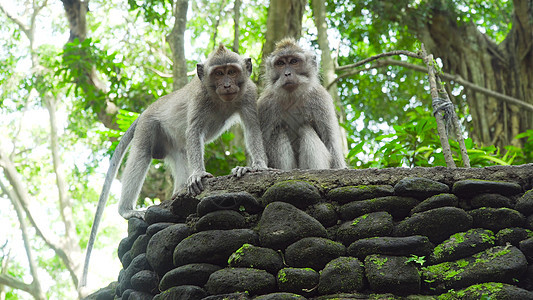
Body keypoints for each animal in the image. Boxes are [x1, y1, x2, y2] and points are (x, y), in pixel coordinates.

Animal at [79, 45, 268, 288]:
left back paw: (179, 191)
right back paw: (127, 209)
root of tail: (149, 108)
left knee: (182, 152)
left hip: (169, 141)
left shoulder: (249, 94)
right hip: (149, 125)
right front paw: (198, 174)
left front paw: (256, 166)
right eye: (218, 73)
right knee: (142, 154)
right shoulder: (199, 97)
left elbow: (252, 127)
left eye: (232, 72)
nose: (227, 85)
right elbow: (194, 131)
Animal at [256, 37, 344, 169]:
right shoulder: (265, 105)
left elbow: (330, 141)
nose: (287, 74)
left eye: (294, 61)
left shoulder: (320, 99)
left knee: (306, 128)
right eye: (280, 63)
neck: (292, 97)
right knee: (279, 131)